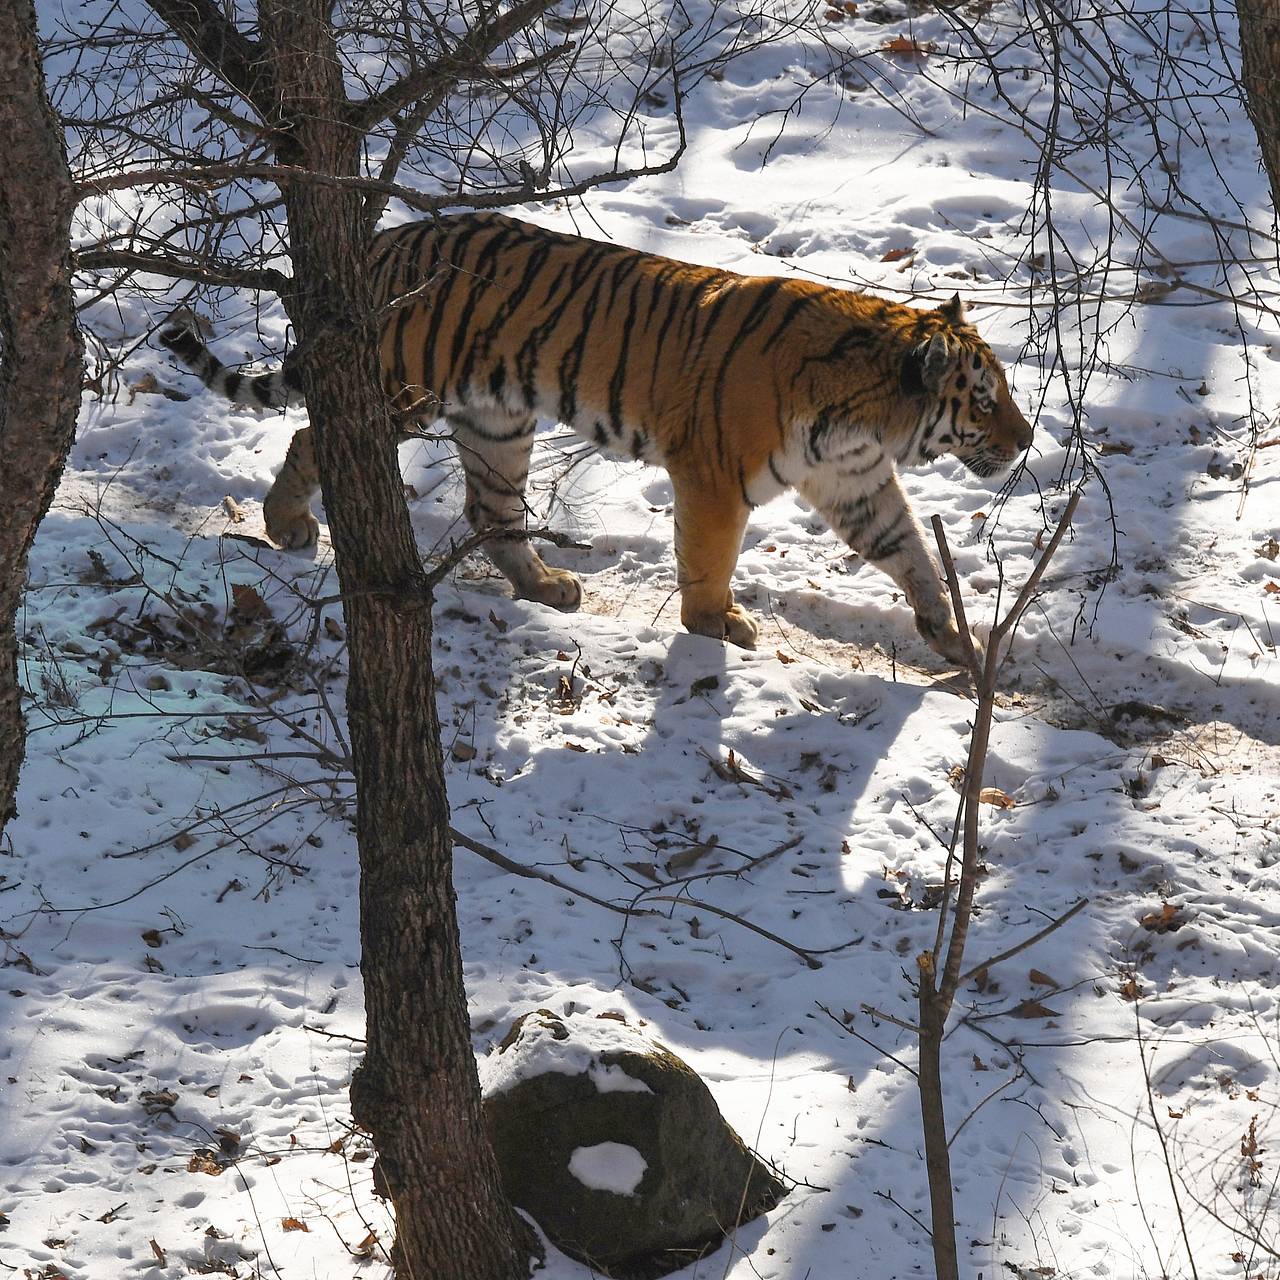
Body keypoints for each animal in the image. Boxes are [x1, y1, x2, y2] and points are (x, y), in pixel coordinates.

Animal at [162, 207, 1039, 670]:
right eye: (985, 399)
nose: (1028, 438)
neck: (870, 417)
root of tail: (382, 242)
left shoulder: (854, 479)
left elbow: (908, 551)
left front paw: (951, 635)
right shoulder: (712, 473)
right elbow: (710, 558)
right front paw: (715, 624)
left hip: (499, 421)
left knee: (491, 512)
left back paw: (547, 585)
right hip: (400, 393)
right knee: (311, 440)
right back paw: (285, 525)